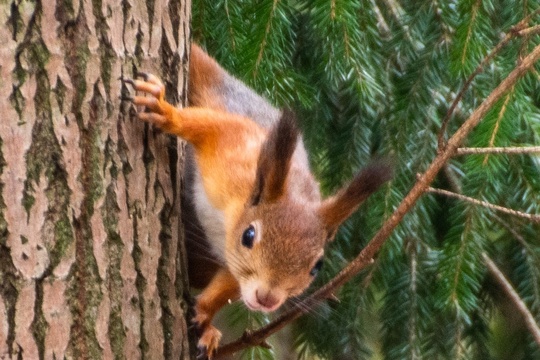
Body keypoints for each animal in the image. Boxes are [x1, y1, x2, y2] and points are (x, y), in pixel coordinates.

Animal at [123, 43, 392, 358]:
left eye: (317, 266)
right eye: (249, 236)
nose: (266, 298)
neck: (229, 220)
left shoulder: (232, 260)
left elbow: (228, 283)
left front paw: (204, 318)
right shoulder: (232, 149)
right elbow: (207, 126)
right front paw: (165, 112)